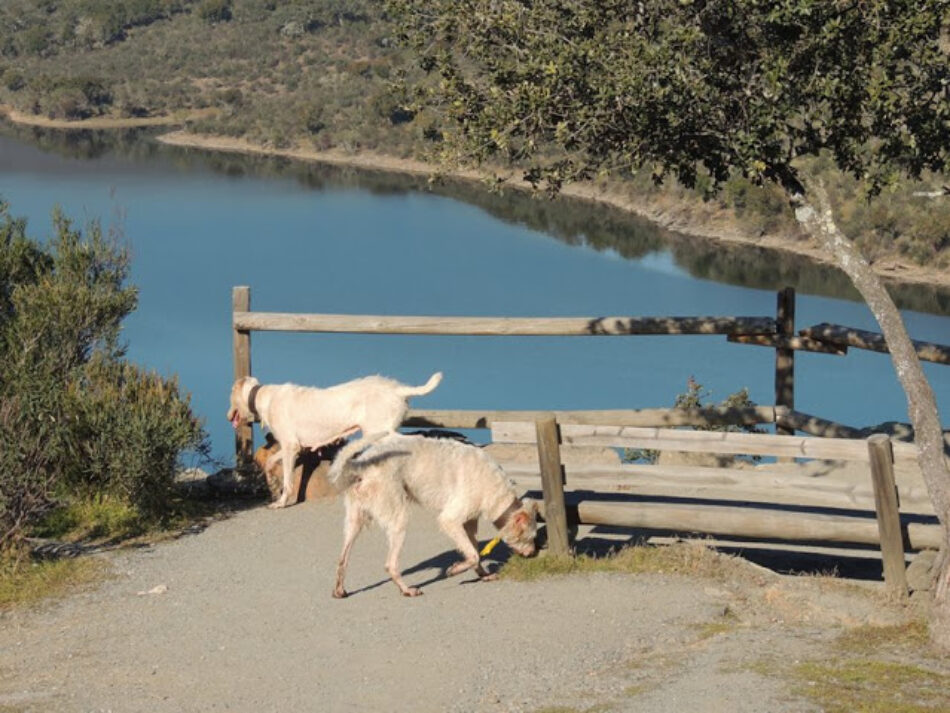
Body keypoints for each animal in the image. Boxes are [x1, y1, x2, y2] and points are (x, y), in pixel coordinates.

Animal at [227, 372, 442, 506]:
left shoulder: (290, 447)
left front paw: (281, 502)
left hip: (380, 432)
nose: (228, 416)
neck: (262, 397)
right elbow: (271, 461)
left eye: (230, 394)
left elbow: (288, 480)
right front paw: (272, 484)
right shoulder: (292, 447)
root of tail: (398, 389)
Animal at [330, 432, 540, 596]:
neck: (493, 488)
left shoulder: (469, 524)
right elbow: (473, 555)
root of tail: (361, 466)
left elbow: (474, 553)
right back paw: (407, 590)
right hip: (399, 518)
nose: (533, 554)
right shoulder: (450, 520)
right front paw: (455, 570)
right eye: (530, 536)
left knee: (342, 560)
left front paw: (484, 575)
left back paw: (339, 590)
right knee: (390, 565)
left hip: (354, 521)